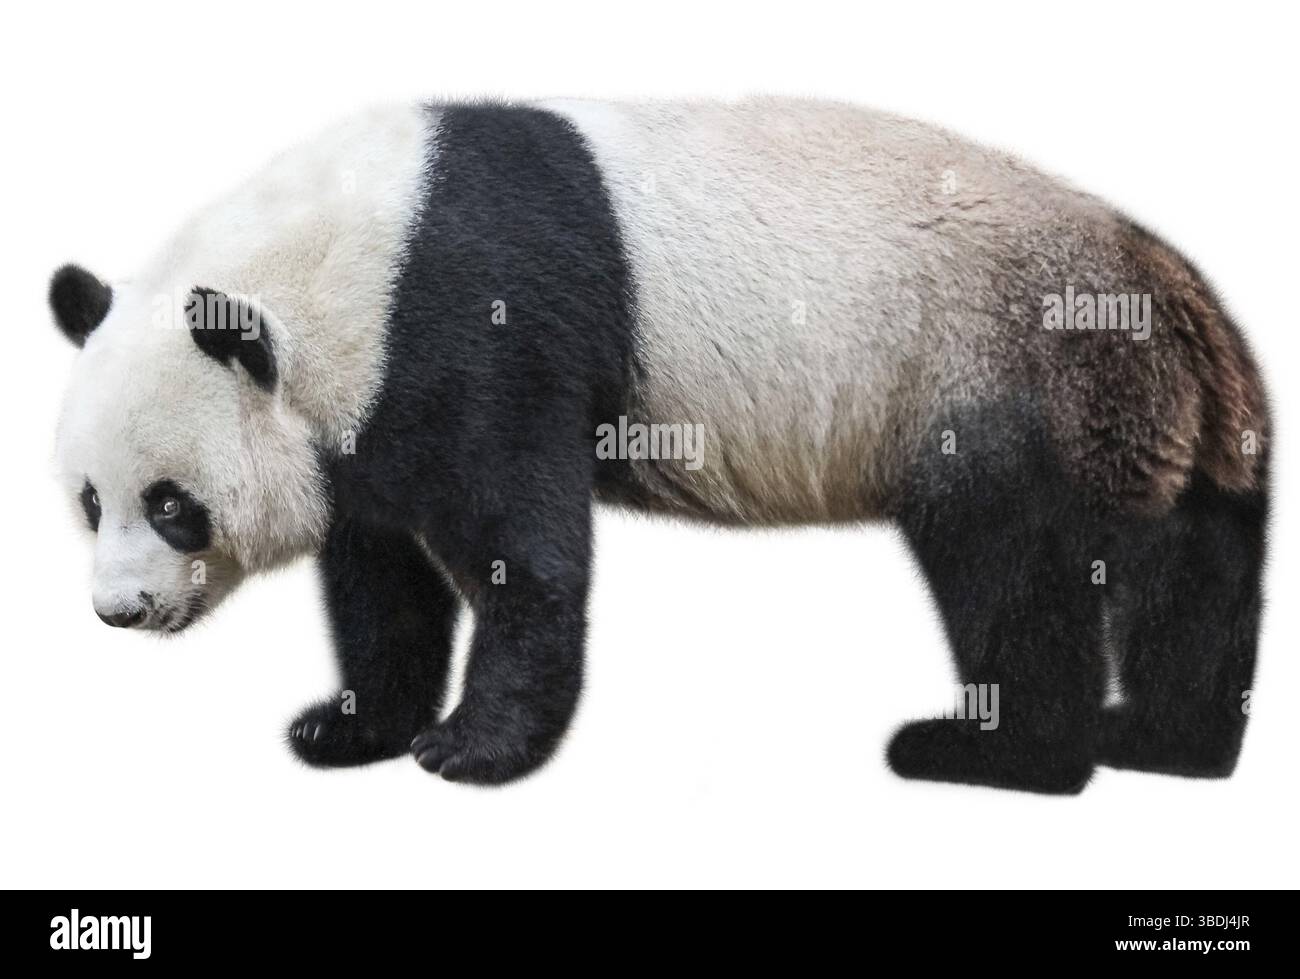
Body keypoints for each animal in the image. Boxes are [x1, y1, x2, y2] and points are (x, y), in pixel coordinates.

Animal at [50, 98, 1269, 793]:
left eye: (172, 503)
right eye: (89, 501)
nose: (118, 612)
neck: (342, 260)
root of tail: (1168, 286)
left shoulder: (472, 321)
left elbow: (521, 548)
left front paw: (469, 751)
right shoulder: (359, 413)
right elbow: (379, 577)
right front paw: (348, 729)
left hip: (995, 366)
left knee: (1010, 568)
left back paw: (994, 755)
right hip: (1151, 416)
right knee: (1190, 569)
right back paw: (1164, 743)